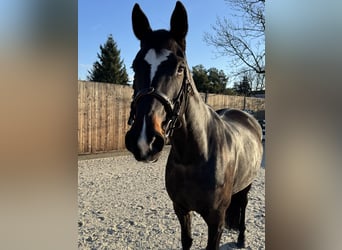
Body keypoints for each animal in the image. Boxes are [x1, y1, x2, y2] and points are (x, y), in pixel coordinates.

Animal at [125, 2, 262, 250]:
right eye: (134, 66)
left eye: (180, 68)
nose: (144, 140)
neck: (196, 155)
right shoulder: (181, 210)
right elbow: (186, 241)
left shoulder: (216, 221)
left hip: (248, 185)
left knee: (244, 205)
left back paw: (242, 238)